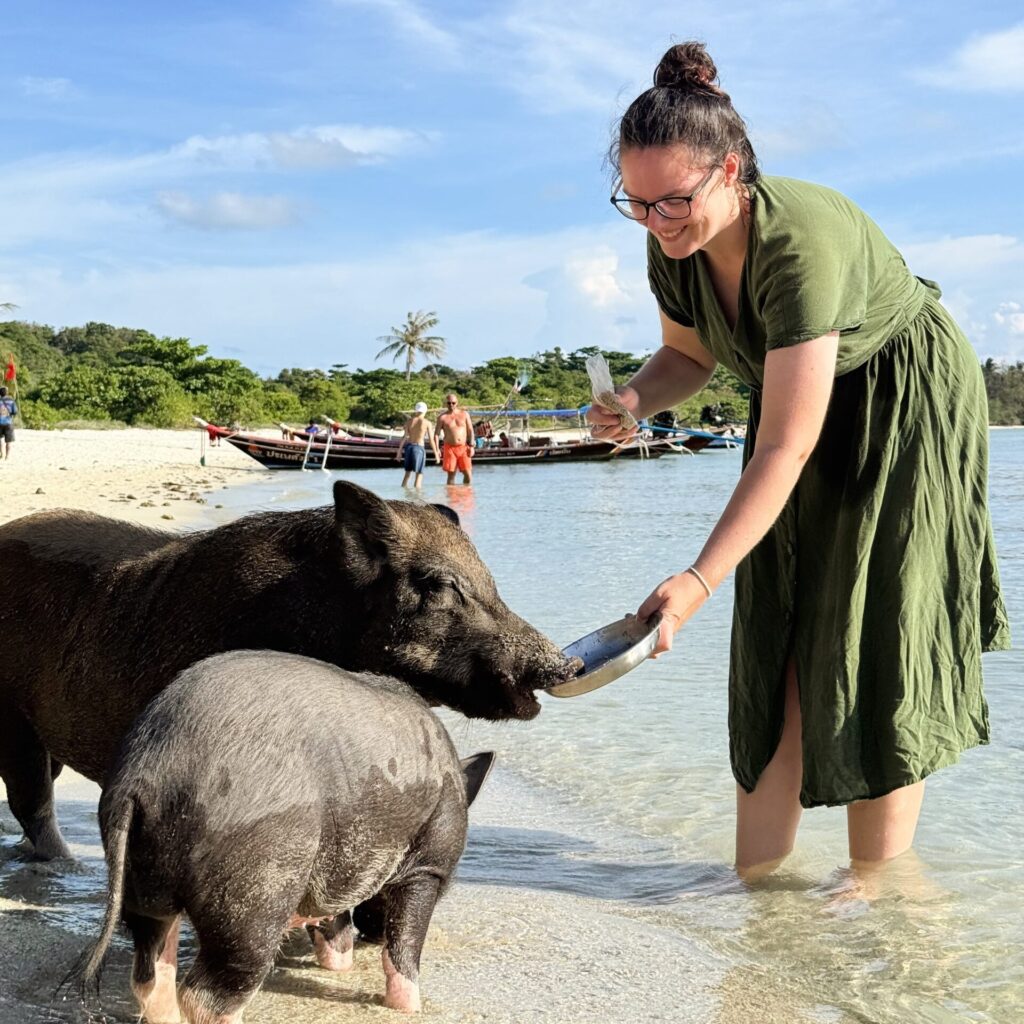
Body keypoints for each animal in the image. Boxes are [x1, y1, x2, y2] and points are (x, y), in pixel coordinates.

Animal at [67, 650, 493, 1019]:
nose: (368, 934)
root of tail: (147, 773)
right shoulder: (429, 863)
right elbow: (406, 941)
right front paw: (411, 1010)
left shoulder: (339, 863)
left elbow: (334, 918)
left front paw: (339, 963)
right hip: (258, 881)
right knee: (209, 992)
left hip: (144, 878)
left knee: (151, 969)